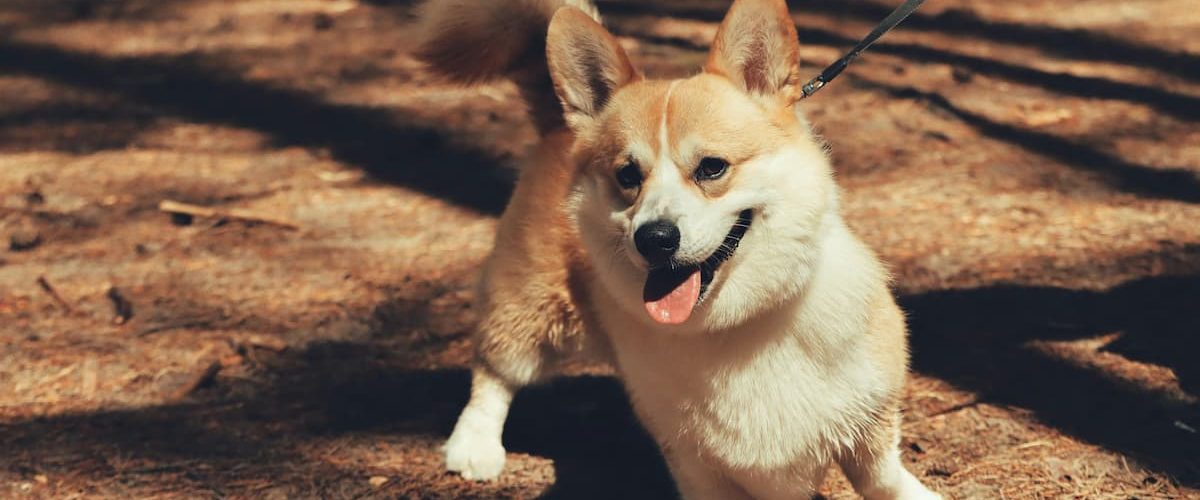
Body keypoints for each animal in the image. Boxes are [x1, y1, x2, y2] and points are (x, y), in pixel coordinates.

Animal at [417, 0, 940, 494]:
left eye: (712, 167)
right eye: (627, 175)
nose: (654, 239)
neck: (735, 322)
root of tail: (560, 129)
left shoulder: (870, 417)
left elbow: (882, 476)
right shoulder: (695, 464)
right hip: (529, 306)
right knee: (495, 372)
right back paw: (474, 445)